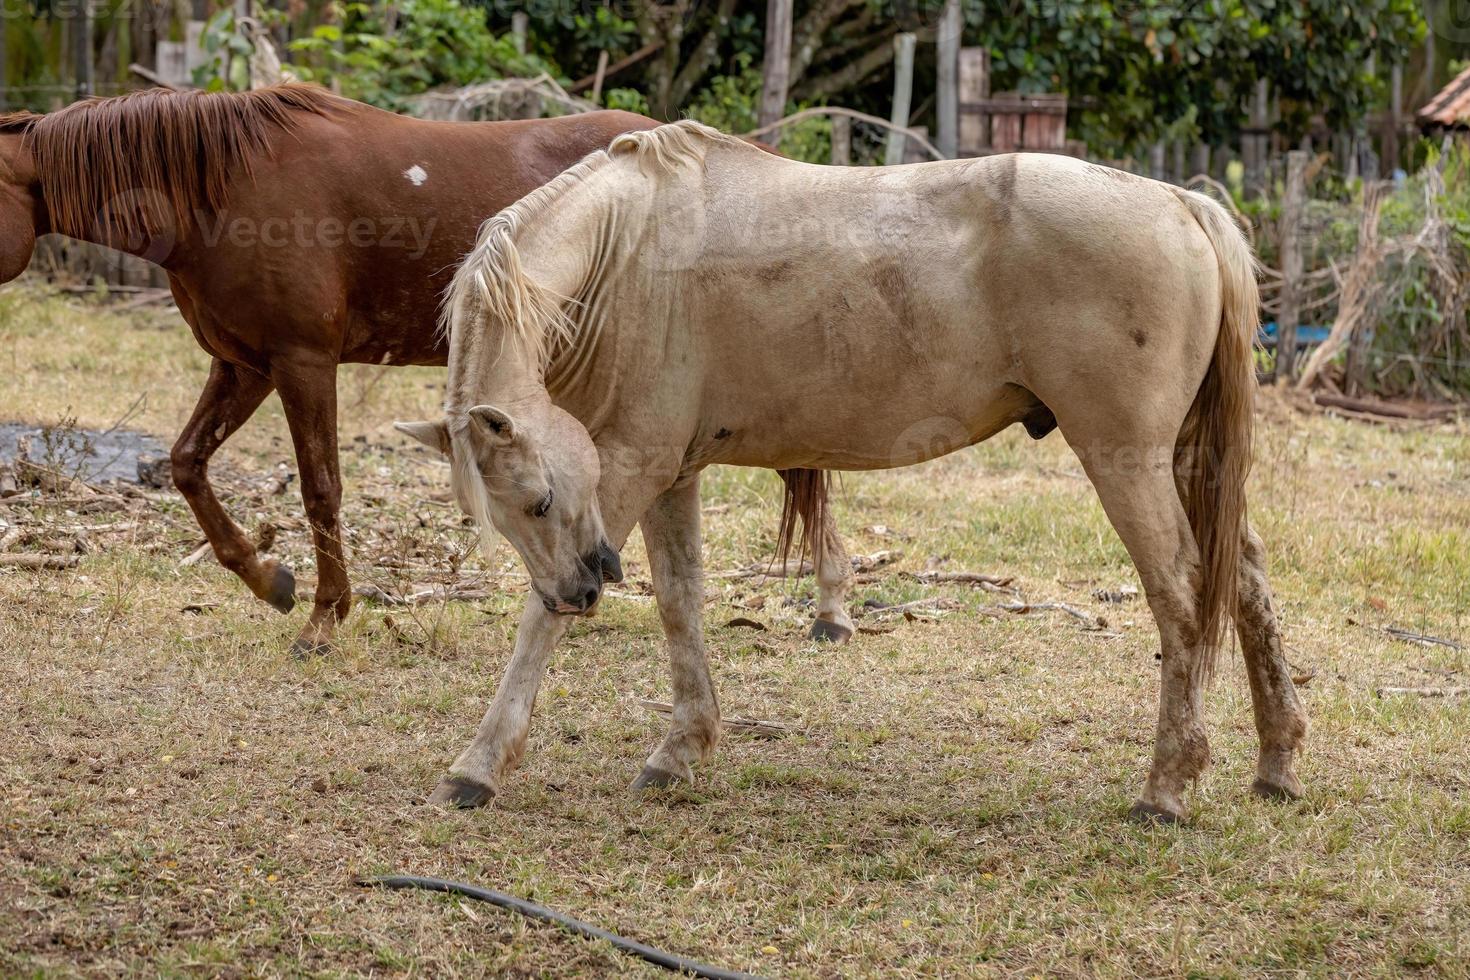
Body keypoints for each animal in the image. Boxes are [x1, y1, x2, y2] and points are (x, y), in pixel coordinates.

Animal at [0, 84, 858, 652]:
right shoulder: (243, 365)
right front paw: (269, 580)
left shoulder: (302, 363)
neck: (217, 191)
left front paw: (324, 617)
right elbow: (186, 465)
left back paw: (828, 610)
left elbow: (321, 488)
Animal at [399, 122, 1311, 828]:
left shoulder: (630, 468)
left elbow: (535, 631)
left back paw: (1167, 787)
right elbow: (680, 604)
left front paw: (477, 766)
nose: (582, 592)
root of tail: (1180, 204)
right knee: (1246, 581)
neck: (626, 247)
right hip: (1188, 459)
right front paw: (681, 748)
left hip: (1126, 462)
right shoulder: (672, 476)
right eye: (503, 517)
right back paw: (1276, 763)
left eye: (539, 501)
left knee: (1182, 595)